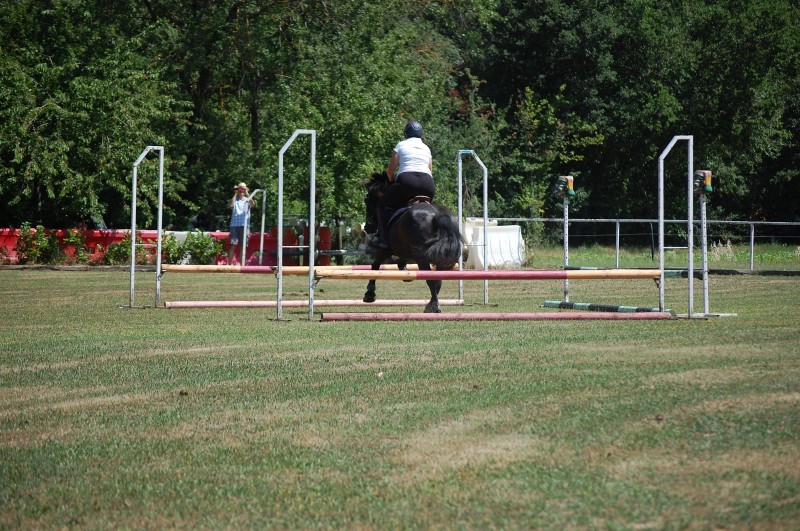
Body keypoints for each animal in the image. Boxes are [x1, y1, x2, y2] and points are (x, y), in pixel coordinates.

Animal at [362, 171, 464, 313]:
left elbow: (375, 267)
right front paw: (405, 273)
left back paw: (433, 306)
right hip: (440, 258)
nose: (367, 227)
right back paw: (432, 303)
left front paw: (369, 294)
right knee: (438, 280)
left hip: (422, 259)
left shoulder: (385, 250)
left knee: (431, 280)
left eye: (367, 200)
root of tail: (438, 214)